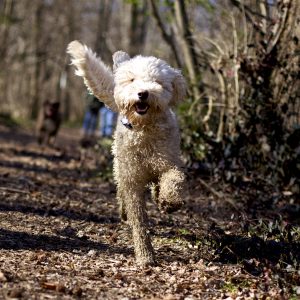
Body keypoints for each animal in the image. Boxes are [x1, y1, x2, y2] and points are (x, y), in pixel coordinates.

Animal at [67, 40, 188, 268]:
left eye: (158, 81)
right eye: (132, 79)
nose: (143, 93)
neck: (144, 131)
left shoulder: (168, 162)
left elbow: (174, 178)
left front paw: (170, 201)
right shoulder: (132, 181)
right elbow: (138, 221)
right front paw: (145, 256)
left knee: (158, 184)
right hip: (120, 167)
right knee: (121, 192)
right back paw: (125, 211)